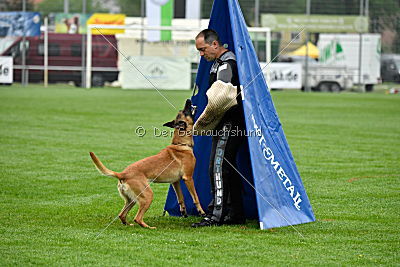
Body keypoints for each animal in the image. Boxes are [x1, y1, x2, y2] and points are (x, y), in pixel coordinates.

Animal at [89, 99, 205, 229]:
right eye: (185, 111)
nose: (188, 100)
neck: (180, 144)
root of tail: (122, 174)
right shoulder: (188, 178)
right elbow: (195, 197)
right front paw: (201, 212)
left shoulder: (175, 182)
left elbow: (181, 198)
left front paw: (184, 212)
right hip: (148, 195)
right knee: (137, 218)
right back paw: (149, 227)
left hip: (132, 200)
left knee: (122, 215)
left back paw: (128, 224)